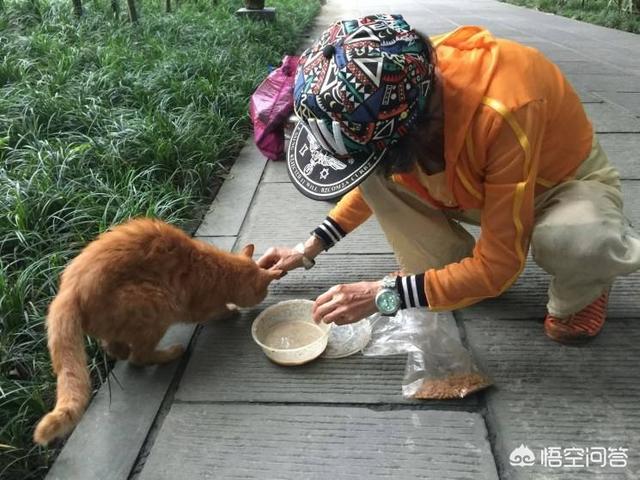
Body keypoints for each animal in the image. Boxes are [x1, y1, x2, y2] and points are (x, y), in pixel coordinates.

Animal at [34, 218, 280, 446]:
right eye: (263, 291)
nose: (264, 296)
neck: (218, 269)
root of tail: (67, 293)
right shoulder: (199, 307)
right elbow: (217, 311)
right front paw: (230, 311)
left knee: (114, 346)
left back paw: (122, 350)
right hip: (157, 302)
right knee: (138, 357)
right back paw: (171, 353)